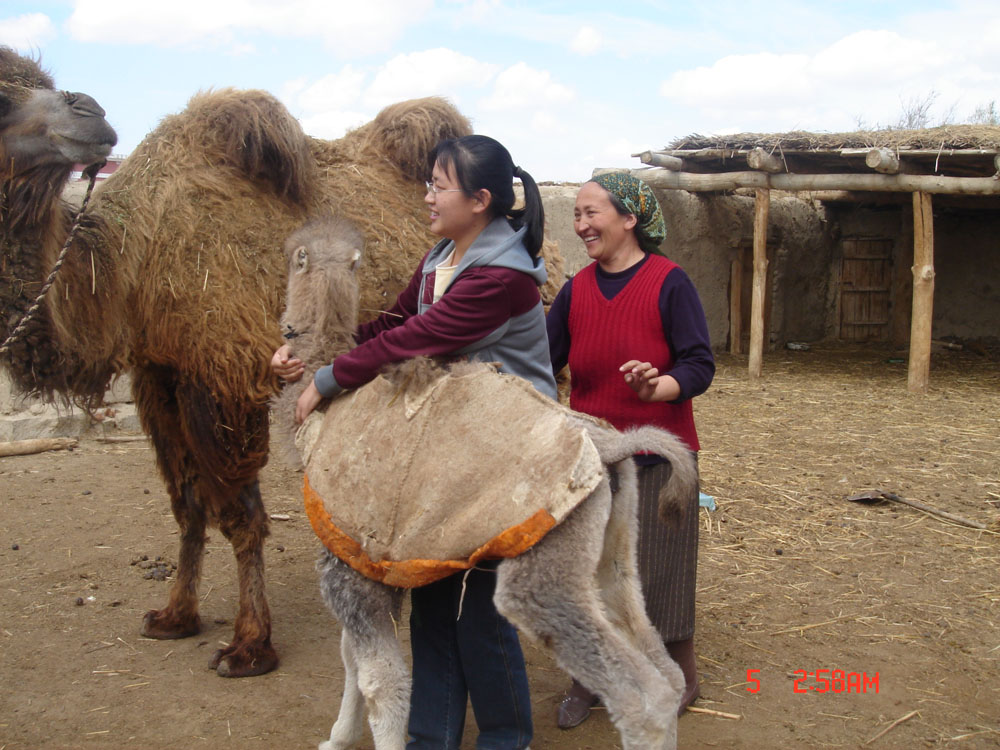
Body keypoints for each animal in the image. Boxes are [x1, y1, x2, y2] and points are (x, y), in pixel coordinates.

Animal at [0, 47, 544, 680]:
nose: (91, 114)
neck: (132, 261)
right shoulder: (160, 375)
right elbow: (187, 507)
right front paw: (174, 616)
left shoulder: (222, 375)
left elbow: (240, 517)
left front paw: (249, 646)